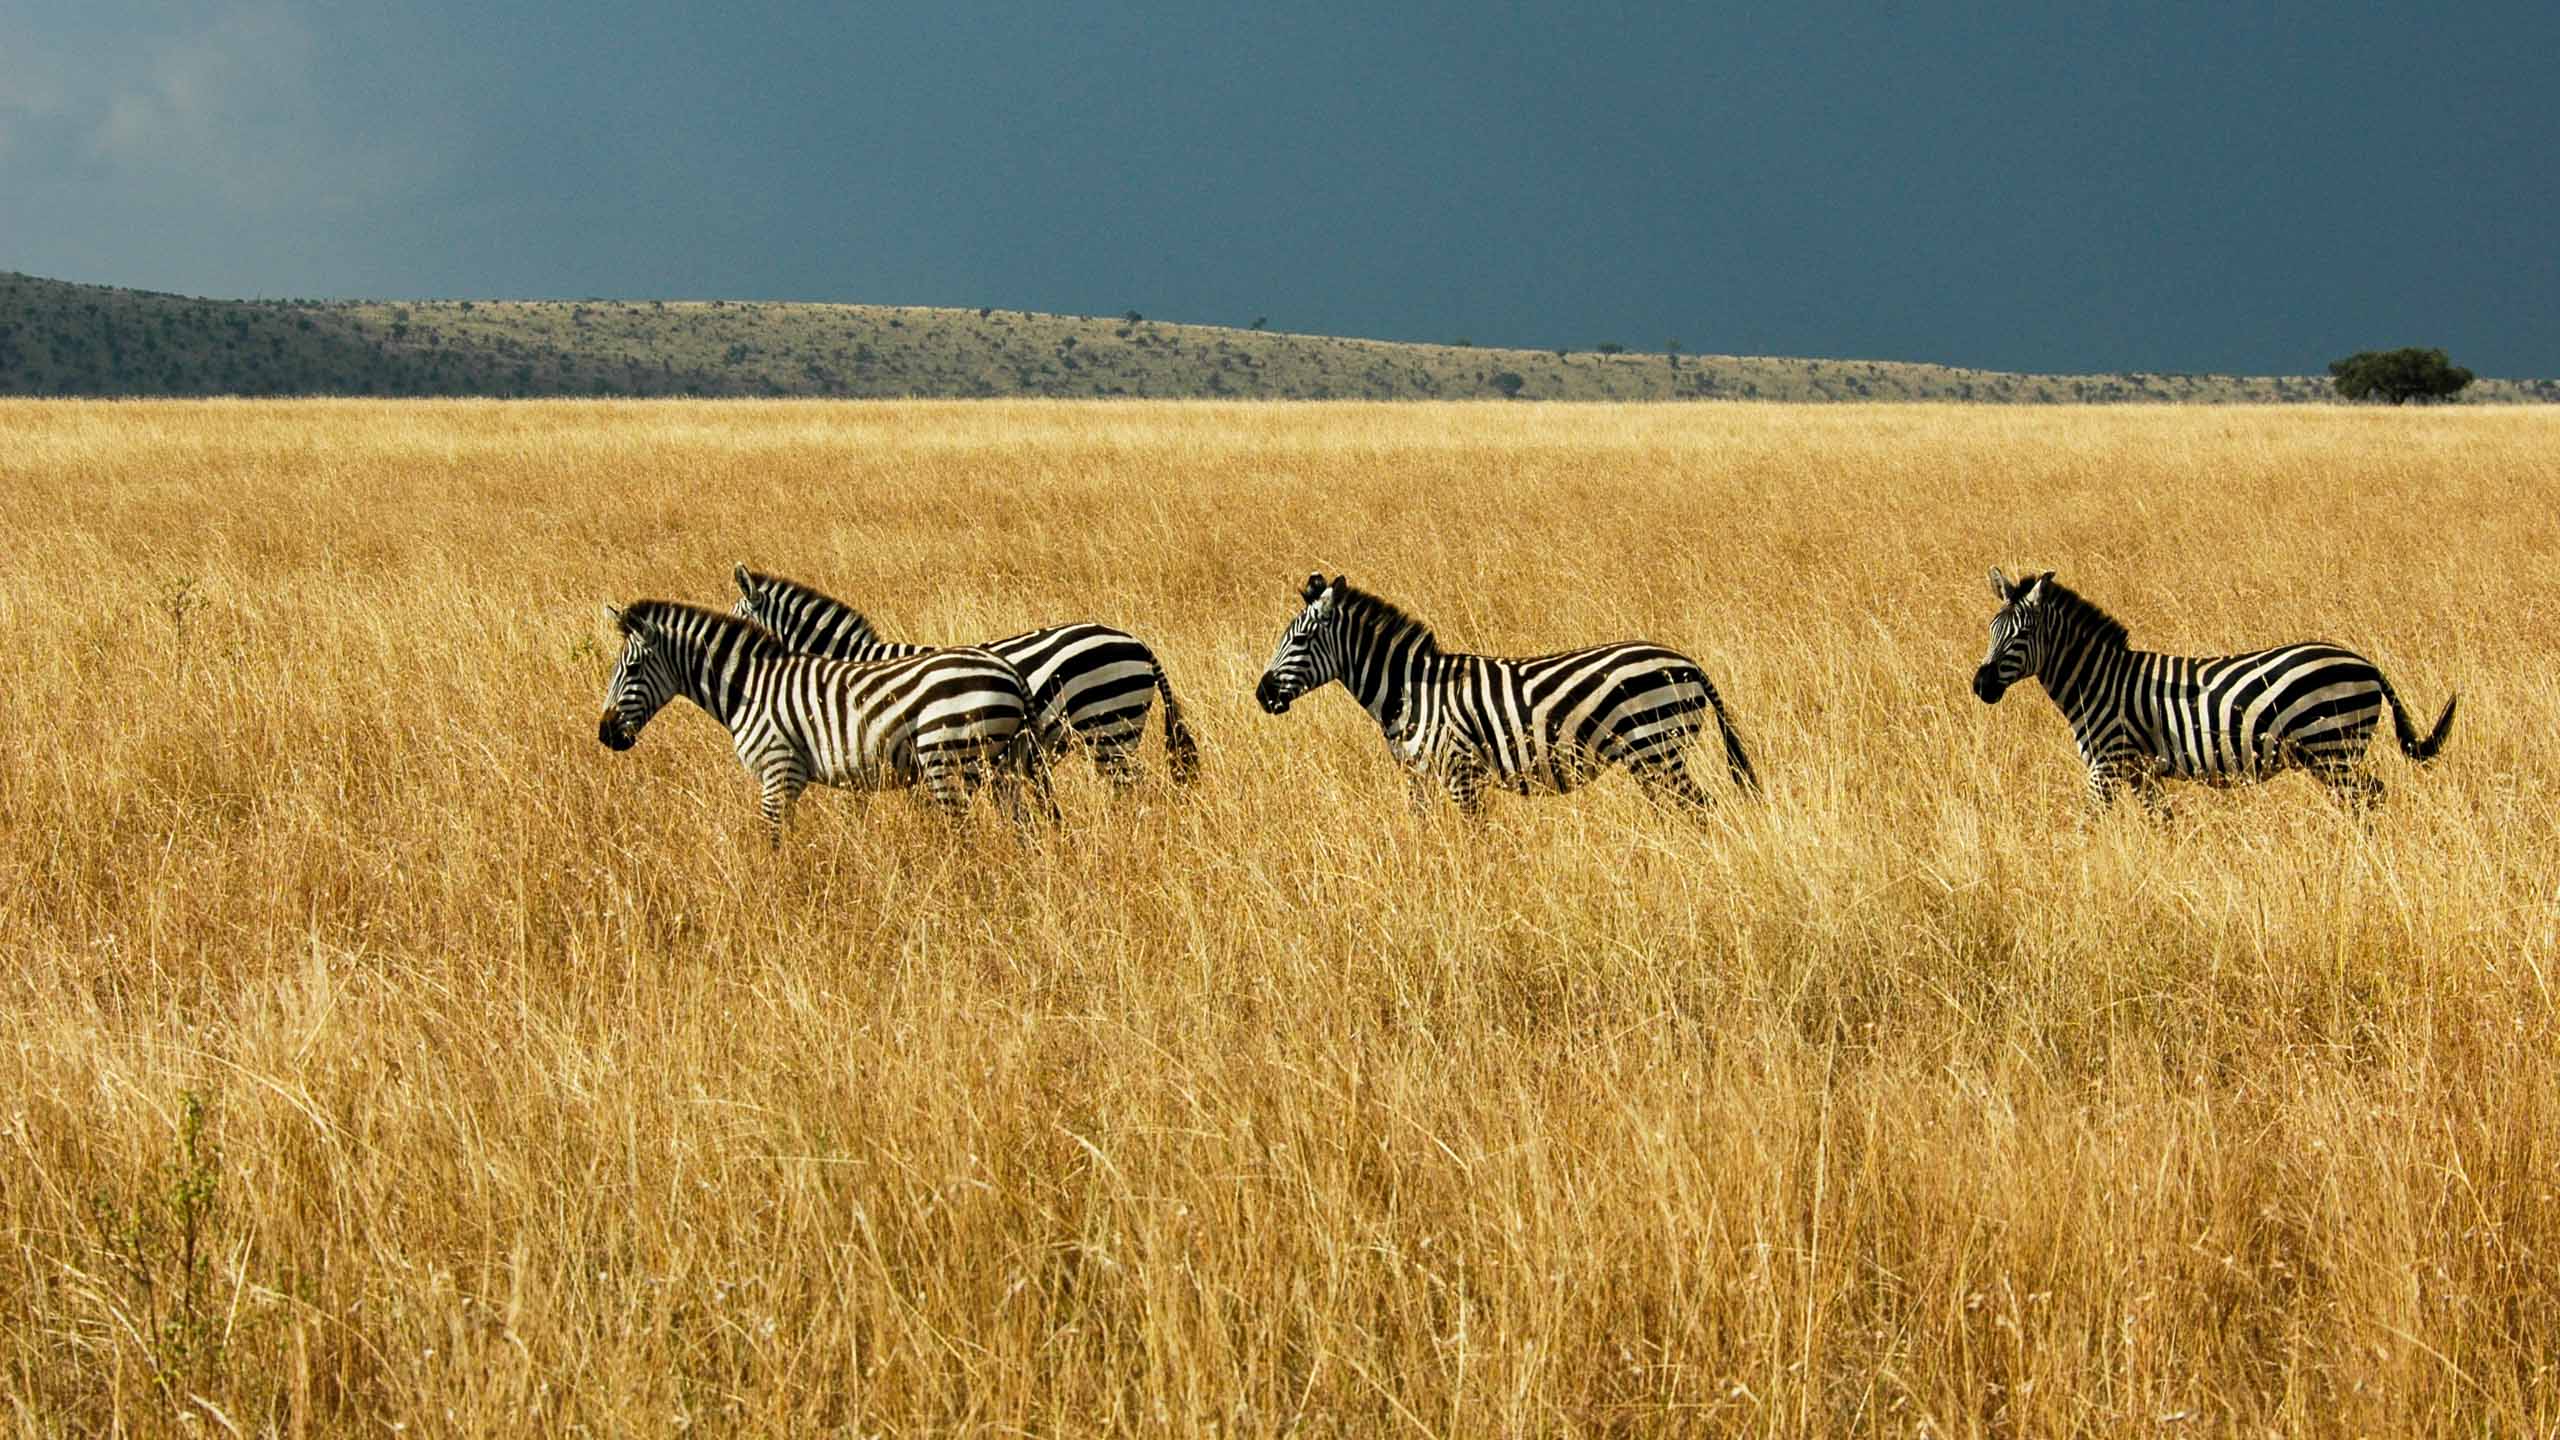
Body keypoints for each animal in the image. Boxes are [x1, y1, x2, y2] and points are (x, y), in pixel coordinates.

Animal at [596, 599, 1055, 838]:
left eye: (631, 669)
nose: (605, 734)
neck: (748, 687)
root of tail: (1008, 670)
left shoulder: (778, 770)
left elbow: (774, 840)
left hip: (951, 761)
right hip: (1003, 765)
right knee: (1021, 826)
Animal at [1254, 573, 1757, 813]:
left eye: (1300, 640)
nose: (1261, 694)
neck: (1409, 691)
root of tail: (1688, 663)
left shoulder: (1460, 772)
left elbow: (1476, 841)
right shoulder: (1417, 778)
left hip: (1657, 747)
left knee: (1699, 809)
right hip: (1653, 757)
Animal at [1972, 567, 2456, 811]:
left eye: (2020, 636)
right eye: (1992, 629)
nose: (1980, 686)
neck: (2098, 682)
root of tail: (2365, 663)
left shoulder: (2108, 764)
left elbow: (2089, 824)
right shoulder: (2141, 771)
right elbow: (2163, 823)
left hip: (2332, 747)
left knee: (2367, 797)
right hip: (2332, 753)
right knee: (2371, 794)